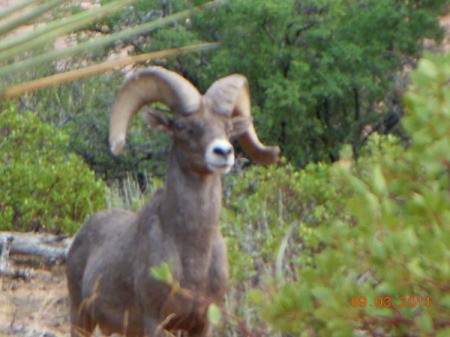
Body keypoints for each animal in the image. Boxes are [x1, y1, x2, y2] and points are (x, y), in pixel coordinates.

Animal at [65, 66, 280, 336]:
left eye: (228, 127)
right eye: (181, 125)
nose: (223, 152)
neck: (193, 257)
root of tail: (82, 233)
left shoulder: (203, 323)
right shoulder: (155, 321)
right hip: (80, 316)